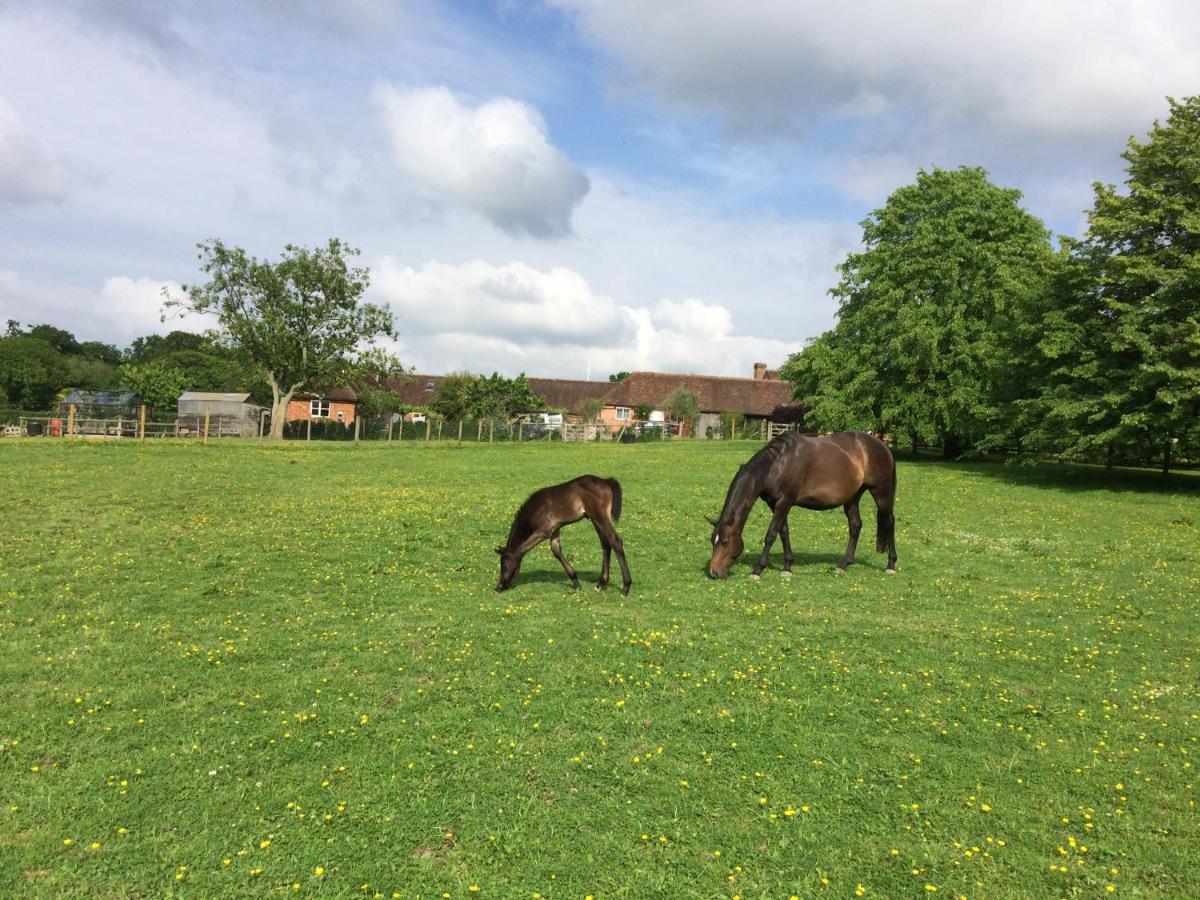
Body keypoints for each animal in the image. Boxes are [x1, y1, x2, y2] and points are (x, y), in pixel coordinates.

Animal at [494, 475, 633, 595]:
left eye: (504, 563)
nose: (499, 587)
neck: (535, 508)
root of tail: (606, 481)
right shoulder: (555, 529)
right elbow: (556, 551)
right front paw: (576, 583)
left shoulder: (543, 532)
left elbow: (520, 551)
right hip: (595, 519)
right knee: (605, 543)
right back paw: (601, 584)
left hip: (599, 516)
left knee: (615, 541)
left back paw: (625, 587)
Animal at [705, 434, 897, 580]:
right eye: (712, 540)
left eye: (725, 541)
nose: (714, 572)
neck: (777, 464)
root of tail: (883, 445)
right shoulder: (774, 504)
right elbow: (783, 532)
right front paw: (787, 567)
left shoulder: (785, 502)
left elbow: (771, 534)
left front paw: (757, 569)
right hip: (852, 498)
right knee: (855, 526)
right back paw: (843, 565)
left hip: (881, 493)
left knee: (889, 523)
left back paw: (891, 565)